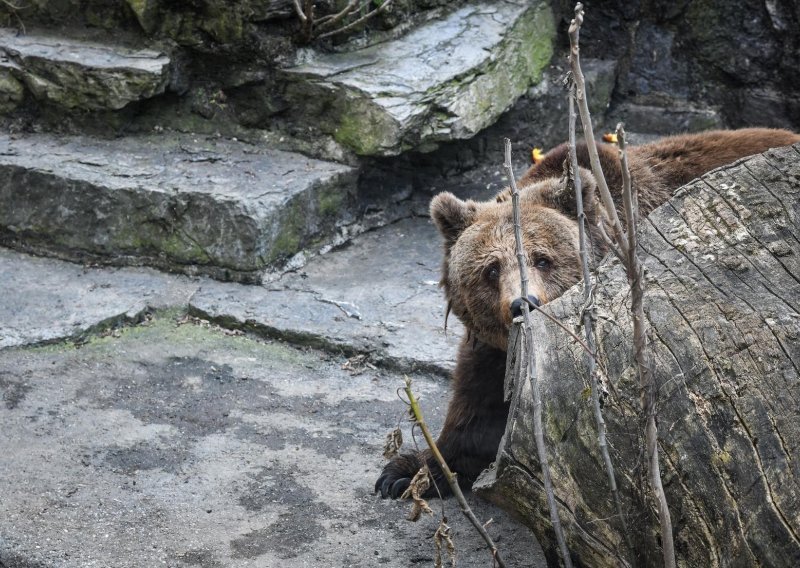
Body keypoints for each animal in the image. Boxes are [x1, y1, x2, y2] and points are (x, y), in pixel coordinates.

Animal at [376, 127, 800, 496]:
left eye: (542, 259)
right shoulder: (492, 352)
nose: (523, 304)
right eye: (491, 269)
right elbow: (475, 415)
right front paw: (406, 472)